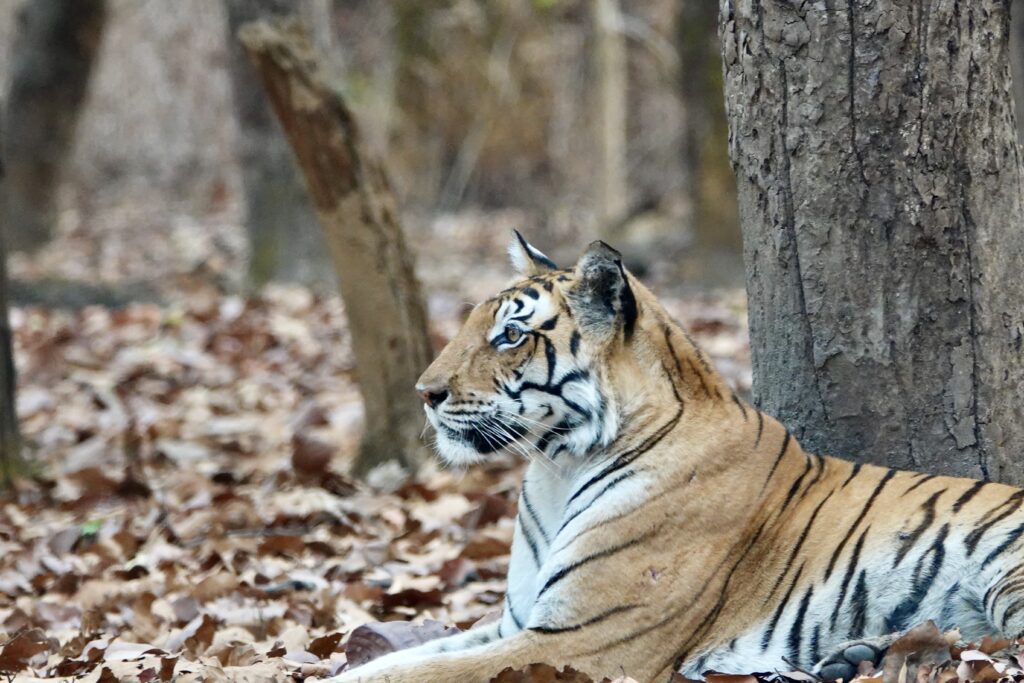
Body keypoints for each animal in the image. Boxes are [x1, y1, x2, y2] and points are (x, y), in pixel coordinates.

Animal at [330, 234, 1024, 683]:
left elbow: (405, 676)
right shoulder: (512, 623)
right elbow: (400, 659)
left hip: (1005, 576)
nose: (424, 393)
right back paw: (852, 659)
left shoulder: (582, 640)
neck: (557, 468)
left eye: (511, 335)